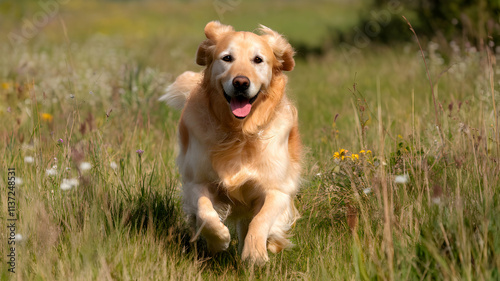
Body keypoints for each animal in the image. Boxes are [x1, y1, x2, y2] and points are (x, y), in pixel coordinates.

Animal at [160, 21, 300, 262]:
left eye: (258, 60)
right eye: (227, 58)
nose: (241, 82)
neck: (239, 133)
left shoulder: (278, 189)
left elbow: (261, 219)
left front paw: (256, 251)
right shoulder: (196, 181)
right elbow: (205, 213)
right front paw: (218, 240)